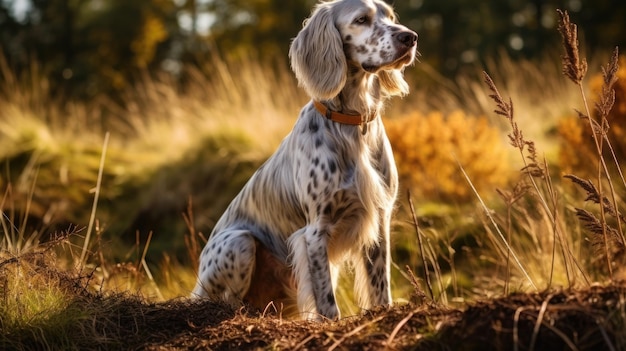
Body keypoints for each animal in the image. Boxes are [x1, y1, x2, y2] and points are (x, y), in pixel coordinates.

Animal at [190, 0, 414, 320]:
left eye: (391, 17)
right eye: (361, 19)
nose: (410, 38)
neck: (351, 122)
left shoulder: (380, 220)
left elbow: (380, 287)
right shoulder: (315, 231)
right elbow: (327, 302)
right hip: (239, 242)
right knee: (228, 300)